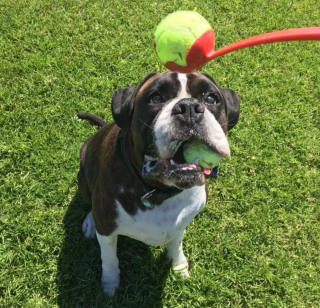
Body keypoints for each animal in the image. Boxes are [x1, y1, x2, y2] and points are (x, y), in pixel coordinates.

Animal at [76, 71, 239, 296]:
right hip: (83, 176)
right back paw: (90, 221)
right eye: (156, 98)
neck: (159, 192)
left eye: (211, 98)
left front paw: (178, 266)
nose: (189, 107)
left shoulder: (181, 224)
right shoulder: (107, 231)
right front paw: (109, 284)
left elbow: (176, 243)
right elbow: (109, 258)